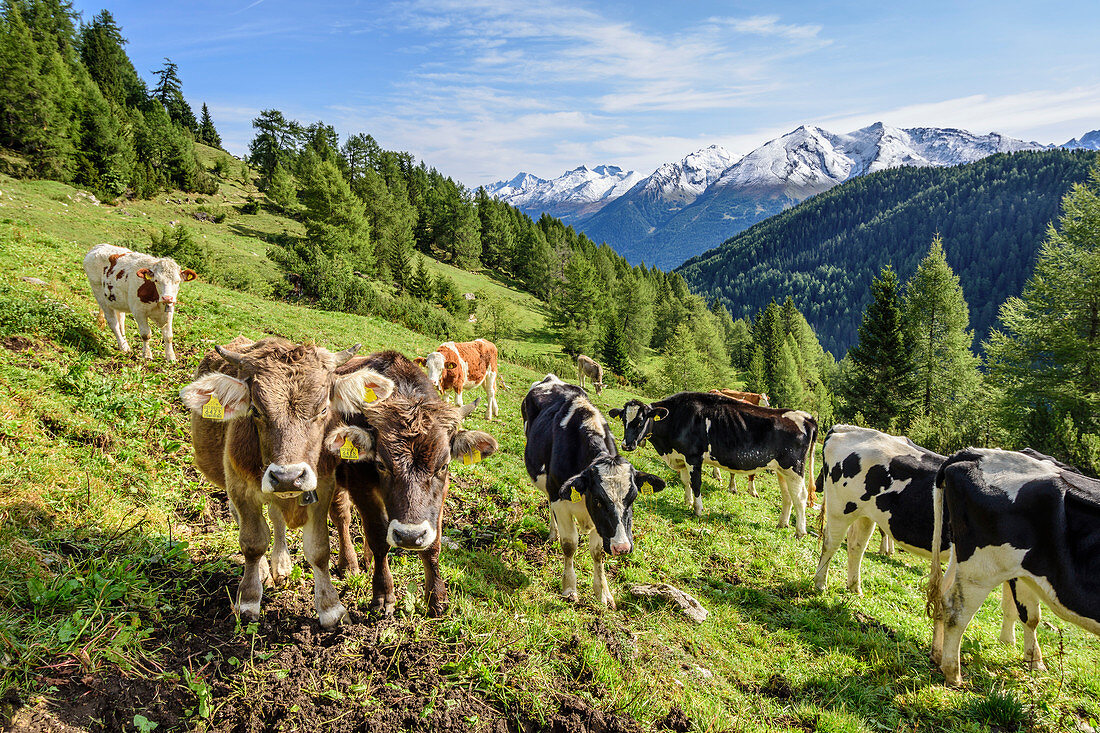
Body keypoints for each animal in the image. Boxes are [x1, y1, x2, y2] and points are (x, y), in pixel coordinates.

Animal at [176, 334, 391, 625]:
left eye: (323, 409)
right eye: (255, 409)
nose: (287, 477)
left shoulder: (322, 488)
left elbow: (319, 549)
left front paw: (331, 607)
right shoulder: (240, 488)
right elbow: (253, 543)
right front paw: (249, 599)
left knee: (276, 518)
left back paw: (281, 564)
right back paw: (265, 570)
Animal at [323, 352, 497, 611]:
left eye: (443, 466)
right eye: (381, 464)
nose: (409, 537)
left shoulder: (440, 496)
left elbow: (433, 544)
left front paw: (437, 597)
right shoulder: (361, 486)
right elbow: (378, 537)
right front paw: (383, 593)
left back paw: (366, 560)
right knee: (341, 516)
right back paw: (349, 564)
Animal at [521, 374, 664, 607]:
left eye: (632, 498)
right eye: (598, 500)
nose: (622, 548)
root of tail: (551, 378)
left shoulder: (600, 523)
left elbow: (597, 553)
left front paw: (603, 593)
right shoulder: (560, 498)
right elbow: (570, 544)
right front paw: (569, 588)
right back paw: (553, 533)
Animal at [611, 391, 818, 528]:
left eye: (641, 421)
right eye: (623, 420)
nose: (626, 445)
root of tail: (806, 416)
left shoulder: (693, 457)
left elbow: (696, 483)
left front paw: (697, 510)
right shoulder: (681, 457)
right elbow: (685, 481)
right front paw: (687, 501)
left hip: (794, 468)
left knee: (800, 496)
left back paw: (800, 531)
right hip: (783, 470)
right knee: (788, 496)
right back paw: (782, 523)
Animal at [928, 449, 1100, 682]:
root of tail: (975, 453)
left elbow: (1029, 616)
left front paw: (1033, 662)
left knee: (941, 593)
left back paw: (937, 655)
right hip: (982, 570)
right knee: (956, 611)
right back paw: (953, 674)